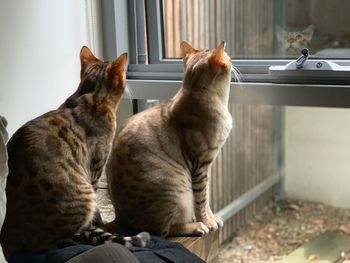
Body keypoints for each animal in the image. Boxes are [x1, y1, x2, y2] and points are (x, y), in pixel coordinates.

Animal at [105, 41, 237, 237]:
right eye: (228, 57)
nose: (232, 59)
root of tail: (119, 219)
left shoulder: (208, 166)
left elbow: (207, 197)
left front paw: (212, 217)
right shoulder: (201, 164)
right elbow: (201, 199)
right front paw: (207, 221)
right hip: (178, 193)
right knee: (165, 229)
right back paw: (196, 226)